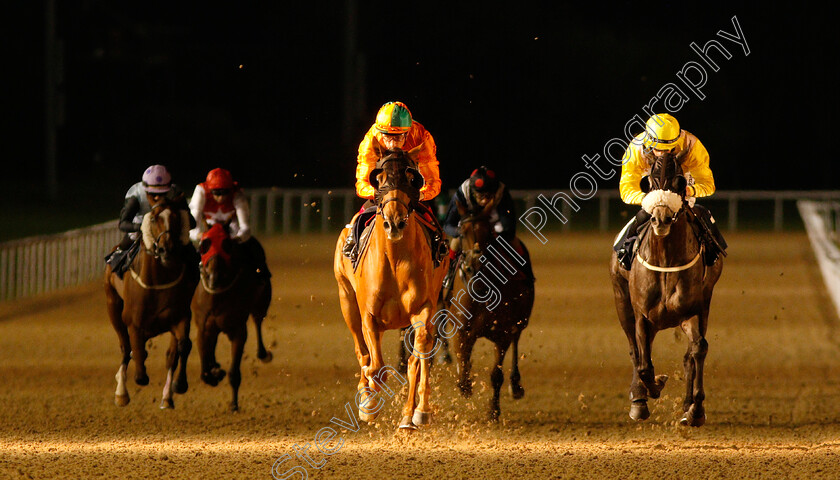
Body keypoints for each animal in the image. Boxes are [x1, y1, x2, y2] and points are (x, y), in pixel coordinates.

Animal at [104, 199, 196, 408]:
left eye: (177, 217)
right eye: (153, 218)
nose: (166, 249)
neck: (158, 282)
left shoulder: (180, 317)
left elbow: (182, 347)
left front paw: (179, 385)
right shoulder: (133, 322)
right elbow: (136, 351)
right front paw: (136, 378)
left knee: (170, 355)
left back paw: (167, 397)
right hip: (113, 306)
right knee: (125, 347)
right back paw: (121, 392)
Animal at [191, 223, 270, 410]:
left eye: (227, 244)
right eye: (204, 245)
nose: (214, 276)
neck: (217, 296)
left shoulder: (238, 331)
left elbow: (234, 372)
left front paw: (234, 404)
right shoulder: (203, 328)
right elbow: (204, 369)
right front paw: (214, 373)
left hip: (261, 302)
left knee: (258, 320)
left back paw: (263, 353)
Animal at [332, 142, 450, 432]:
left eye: (411, 178)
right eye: (380, 178)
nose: (394, 222)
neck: (395, 259)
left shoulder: (423, 309)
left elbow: (416, 358)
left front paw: (413, 414)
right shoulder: (369, 316)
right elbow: (375, 365)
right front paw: (368, 403)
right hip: (346, 301)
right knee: (362, 352)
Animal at [446, 201, 532, 422]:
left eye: (487, 232)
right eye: (463, 232)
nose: (475, 264)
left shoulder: (503, 334)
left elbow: (496, 375)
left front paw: (493, 411)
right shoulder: (462, 330)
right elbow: (463, 362)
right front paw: (465, 383)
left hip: (519, 322)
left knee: (517, 341)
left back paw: (516, 385)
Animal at [608, 152, 724, 426]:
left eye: (680, 181)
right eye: (647, 182)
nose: (660, 218)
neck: (665, 260)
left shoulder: (690, 311)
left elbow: (697, 349)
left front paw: (695, 409)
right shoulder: (641, 314)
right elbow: (643, 364)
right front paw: (651, 389)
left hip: (705, 302)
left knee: (689, 354)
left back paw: (686, 404)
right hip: (621, 300)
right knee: (635, 351)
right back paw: (638, 399)